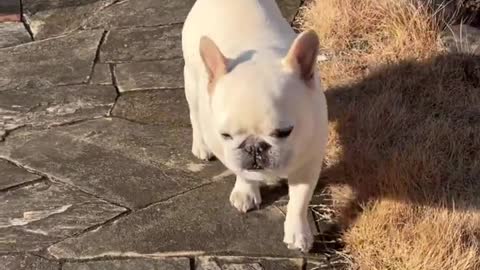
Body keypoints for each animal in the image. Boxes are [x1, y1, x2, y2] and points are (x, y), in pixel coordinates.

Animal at [182, 0, 328, 253]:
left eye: (285, 132)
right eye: (225, 135)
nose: (254, 147)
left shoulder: (308, 162)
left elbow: (299, 200)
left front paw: (298, 233)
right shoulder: (231, 154)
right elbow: (243, 171)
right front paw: (246, 190)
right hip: (191, 82)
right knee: (195, 113)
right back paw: (201, 145)